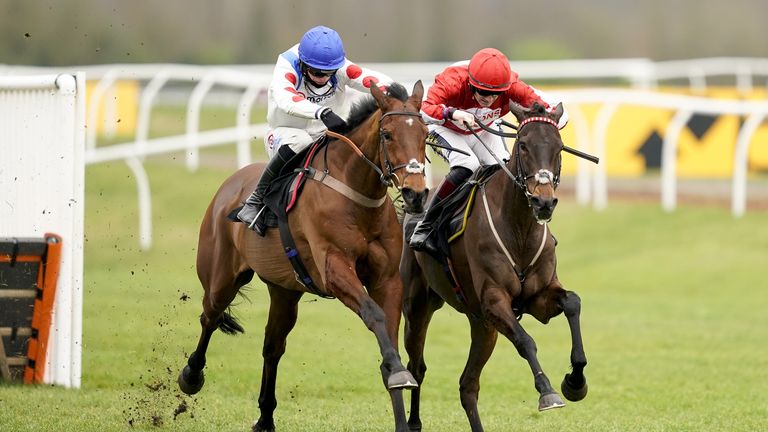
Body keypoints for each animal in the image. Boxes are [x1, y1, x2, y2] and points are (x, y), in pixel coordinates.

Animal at [180, 82, 432, 432]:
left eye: (425, 134)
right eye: (387, 134)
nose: (416, 193)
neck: (356, 195)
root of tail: (228, 186)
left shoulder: (387, 279)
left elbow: (389, 340)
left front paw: (398, 390)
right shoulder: (334, 268)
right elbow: (374, 315)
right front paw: (397, 373)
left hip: (284, 290)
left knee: (272, 346)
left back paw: (265, 418)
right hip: (221, 277)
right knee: (210, 317)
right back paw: (191, 375)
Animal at [402, 102, 588, 432]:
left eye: (559, 147)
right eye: (523, 145)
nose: (543, 203)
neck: (520, 230)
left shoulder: (538, 298)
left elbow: (573, 303)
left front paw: (575, 382)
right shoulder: (494, 300)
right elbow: (526, 341)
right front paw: (548, 392)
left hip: (482, 325)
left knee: (468, 385)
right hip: (418, 306)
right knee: (416, 368)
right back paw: (412, 422)